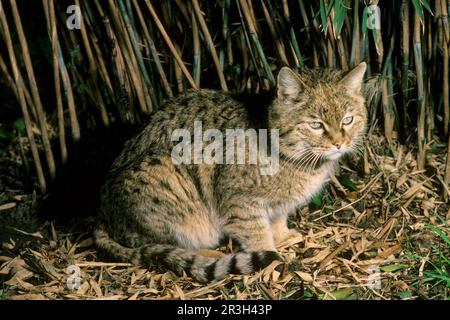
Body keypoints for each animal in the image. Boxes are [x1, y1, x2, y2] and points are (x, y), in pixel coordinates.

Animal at [94, 62, 366, 282]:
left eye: (348, 120)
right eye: (316, 125)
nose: (339, 143)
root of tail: (102, 214)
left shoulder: (278, 204)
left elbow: (277, 219)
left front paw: (283, 236)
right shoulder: (238, 202)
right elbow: (257, 234)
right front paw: (271, 257)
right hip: (164, 180)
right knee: (156, 243)